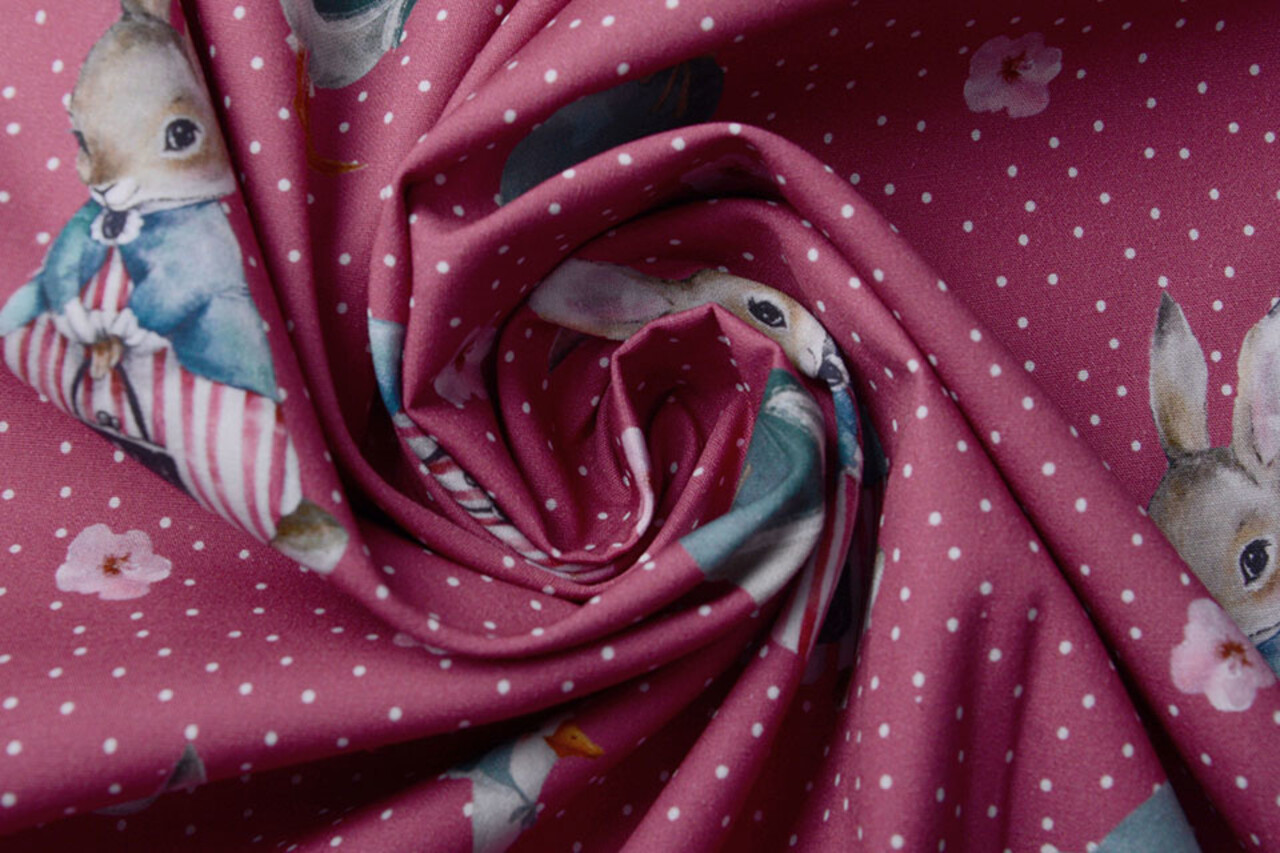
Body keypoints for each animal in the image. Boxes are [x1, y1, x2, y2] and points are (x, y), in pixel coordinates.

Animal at [0, 0, 347, 572]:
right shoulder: (82, 229)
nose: (102, 187)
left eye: (183, 135)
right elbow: (65, 263)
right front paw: (83, 320)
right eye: (78, 139)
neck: (133, 219)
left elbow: (173, 290)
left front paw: (122, 328)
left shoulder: (200, 250)